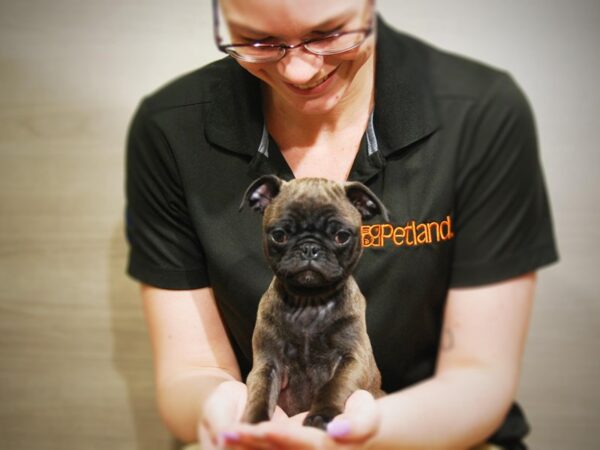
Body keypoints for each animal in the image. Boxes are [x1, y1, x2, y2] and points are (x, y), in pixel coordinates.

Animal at [239, 175, 390, 428]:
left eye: (341, 236)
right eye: (279, 235)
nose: (310, 247)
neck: (309, 302)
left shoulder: (353, 359)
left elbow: (334, 386)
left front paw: (321, 415)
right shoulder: (267, 365)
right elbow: (260, 394)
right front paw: (254, 423)